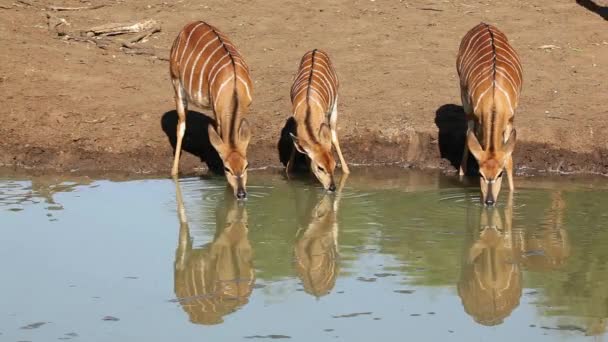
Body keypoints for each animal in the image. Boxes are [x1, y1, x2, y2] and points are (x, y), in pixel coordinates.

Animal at [169, 21, 252, 199]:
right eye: (227, 168)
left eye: (247, 165)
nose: (241, 194)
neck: (234, 89)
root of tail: (188, 26)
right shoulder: (218, 114)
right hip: (177, 84)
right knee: (181, 125)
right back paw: (174, 172)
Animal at [288, 49, 350, 191]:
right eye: (320, 167)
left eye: (334, 165)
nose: (332, 187)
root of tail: (315, 50)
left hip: (334, 105)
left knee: (334, 136)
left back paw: (346, 170)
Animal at [456, 24, 524, 207]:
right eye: (481, 174)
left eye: (500, 174)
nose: (489, 201)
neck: (494, 99)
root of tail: (483, 24)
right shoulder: (478, 115)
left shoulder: (510, 120)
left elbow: (509, 160)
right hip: (465, 99)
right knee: (468, 132)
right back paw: (461, 173)